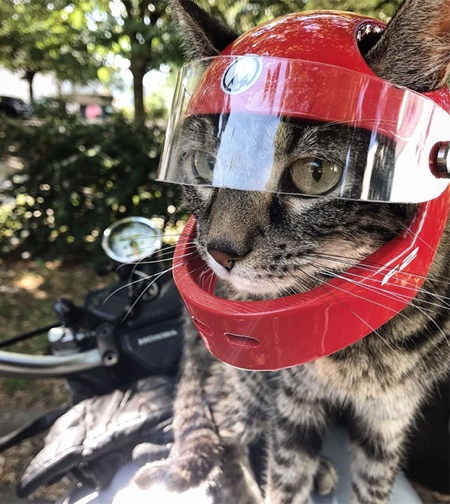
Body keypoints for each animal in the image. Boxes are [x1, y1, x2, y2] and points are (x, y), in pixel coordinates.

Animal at [131, 0, 450, 504]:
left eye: (316, 173)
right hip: (251, 378)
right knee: (226, 433)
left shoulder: (389, 416)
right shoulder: (293, 399)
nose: (220, 251)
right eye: (205, 164)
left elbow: (374, 483)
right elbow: (284, 477)